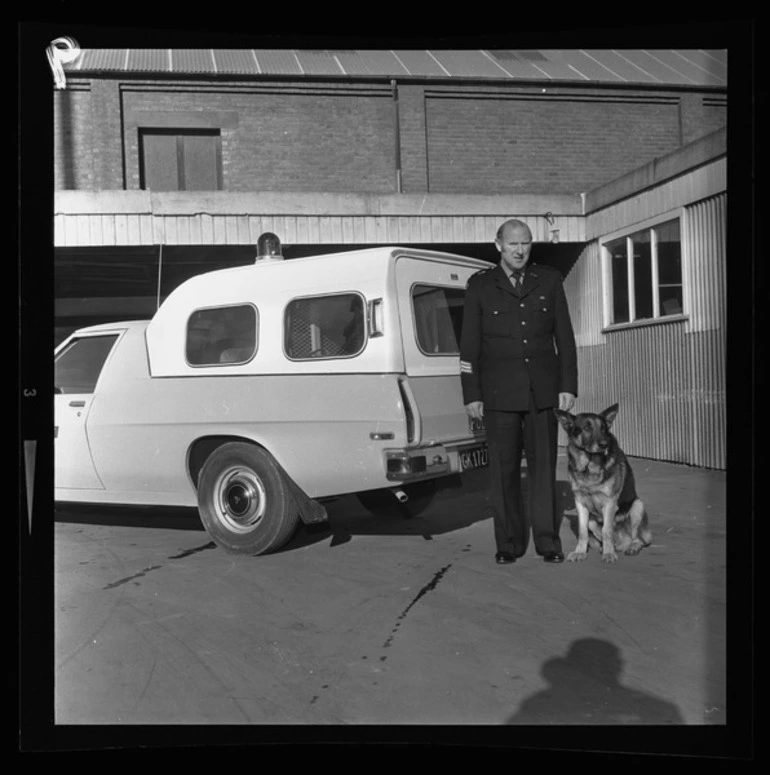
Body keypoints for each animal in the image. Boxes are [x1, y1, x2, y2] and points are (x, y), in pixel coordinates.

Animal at [548, 406, 652, 564]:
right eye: (586, 428)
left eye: (603, 429)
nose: (604, 444)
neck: (589, 466)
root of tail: (623, 541)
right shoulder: (580, 503)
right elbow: (583, 531)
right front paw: (580, 552)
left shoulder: (609, 503)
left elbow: (606, 530)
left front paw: (608, 554)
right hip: (592, 518)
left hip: (637, 506)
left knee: (640, 539)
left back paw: (630, 547)